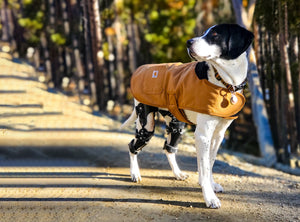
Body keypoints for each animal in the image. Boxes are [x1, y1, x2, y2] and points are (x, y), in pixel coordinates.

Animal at [120, 24, 254, 208]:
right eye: (205, 32)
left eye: (215, 34)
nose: (188, 42)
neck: (225, 83)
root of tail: (141, 69)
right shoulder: (203, 135)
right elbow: (204, 166)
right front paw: (210, 197)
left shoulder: (217, 135)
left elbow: (209, 163)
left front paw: (210, 184)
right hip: (146, 126)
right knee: (132, 146)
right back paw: (135, 173)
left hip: (176, 126)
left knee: (168, 148)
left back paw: (178, 173)